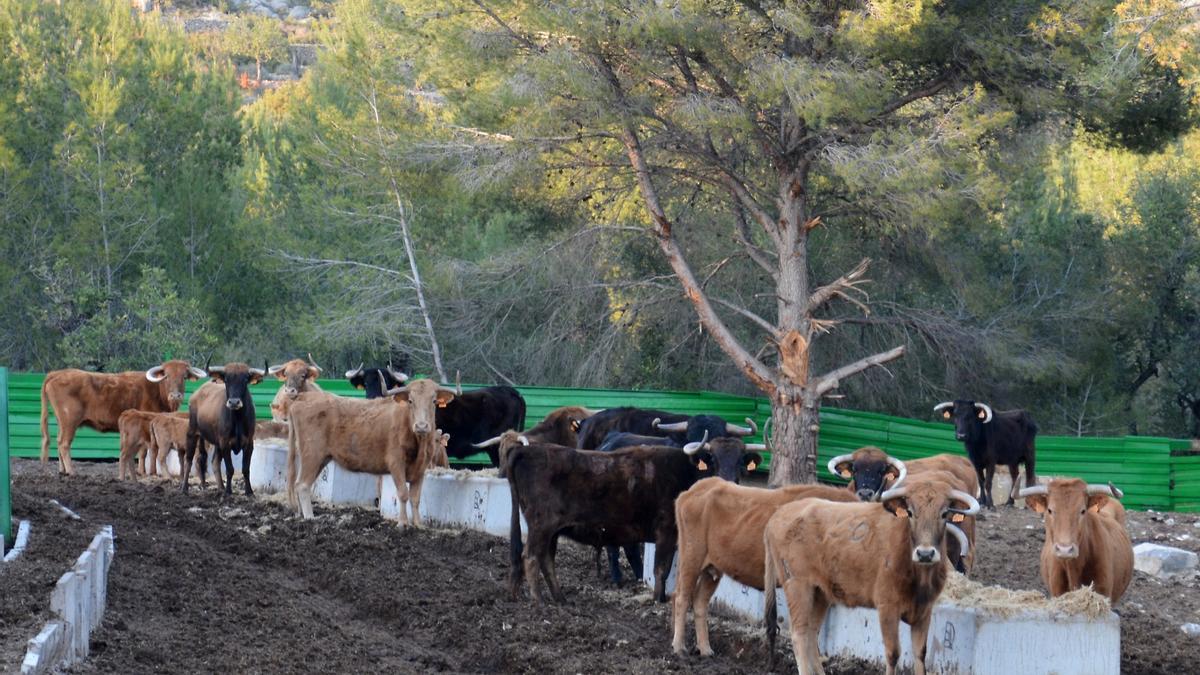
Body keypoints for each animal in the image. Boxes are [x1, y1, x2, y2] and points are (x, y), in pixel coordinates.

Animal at [41, 357, 205, 473]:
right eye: (167, 376)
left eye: (184, 376)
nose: (175, 395)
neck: (156, 391)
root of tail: (56, 374)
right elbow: (143, 452)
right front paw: (142, 472)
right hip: (70, 421)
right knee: (64, 443)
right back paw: (71, 471)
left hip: (62, 422)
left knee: (59, 441)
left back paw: (62, 470)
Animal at [284, 374, 453, 523]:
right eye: (410, 401)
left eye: (434, 400)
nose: (421, 426)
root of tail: (304, 397)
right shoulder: (396, 463)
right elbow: (403, 494)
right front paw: (403, 523)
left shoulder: (421, 470)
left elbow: (416, 499)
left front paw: (417, 524)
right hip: (312, 454)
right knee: (302, 485)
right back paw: (309, 518)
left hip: (320, 458)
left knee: (299, 483)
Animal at [504, 444, 700, 600]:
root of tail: (527, 449)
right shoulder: (666, 533)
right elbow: (661, 570)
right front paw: (659, 599)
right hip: (541, 526)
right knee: (530, 557)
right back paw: (538, 600)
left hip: (551, 532)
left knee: (545, 559)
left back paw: (557, 598)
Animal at [672, 475, 859, 653]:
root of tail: (697, 488)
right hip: (691, 558)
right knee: (682, 598)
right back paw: (679, 647)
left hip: (712, 569)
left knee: (699, 602)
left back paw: (705, 649)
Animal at [763, 473, 979, 672]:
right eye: (910, 512)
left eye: (944, 513)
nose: (925, 554)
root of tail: (777, 515)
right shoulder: (887, 608)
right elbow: (893, 654)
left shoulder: (924, 611)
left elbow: (920, 655)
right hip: (798, 586)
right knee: (799, 633)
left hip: (820, 592)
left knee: (811, 632)